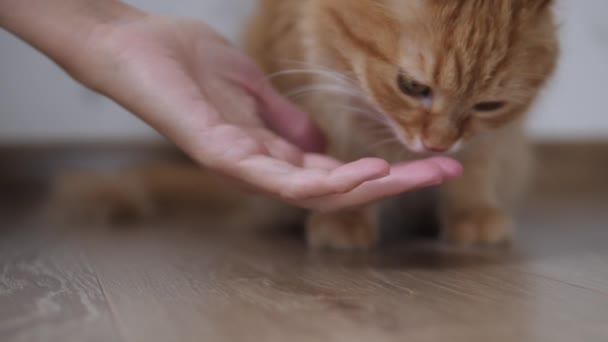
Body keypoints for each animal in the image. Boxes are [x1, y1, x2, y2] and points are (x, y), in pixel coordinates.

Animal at [50, 0, 560, 251]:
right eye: (413, 86)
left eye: (489, 105)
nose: (436, 148)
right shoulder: (321, 97)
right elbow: (347, 155)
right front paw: (344, 219)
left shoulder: (491, 140)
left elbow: (475, 171)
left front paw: (472, 214)